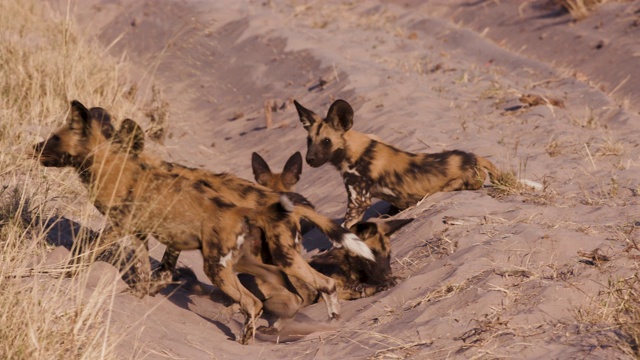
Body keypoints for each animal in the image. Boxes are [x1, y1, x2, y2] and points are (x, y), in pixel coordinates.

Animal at [33, 100, 376, 344]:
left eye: (54, 138)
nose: (33, 147)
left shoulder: (119, 228)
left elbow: (85, 254)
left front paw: (63, 273)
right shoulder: (146, 233)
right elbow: (151, 270)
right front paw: (143, 293)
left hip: (251, 262)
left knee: (284, 296)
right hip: (259, 261)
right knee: (308, 291)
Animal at [234, 215, 410, 334]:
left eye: (388, 254)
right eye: (371, 255)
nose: (387, 273)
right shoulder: (338, 288)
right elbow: (363, 288)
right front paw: (385, 284)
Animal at [296, 98, 504, 226]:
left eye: (326, 141)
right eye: (308, 141)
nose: (309, 159)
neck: (353, 149)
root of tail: (473, 156)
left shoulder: (358, 202)